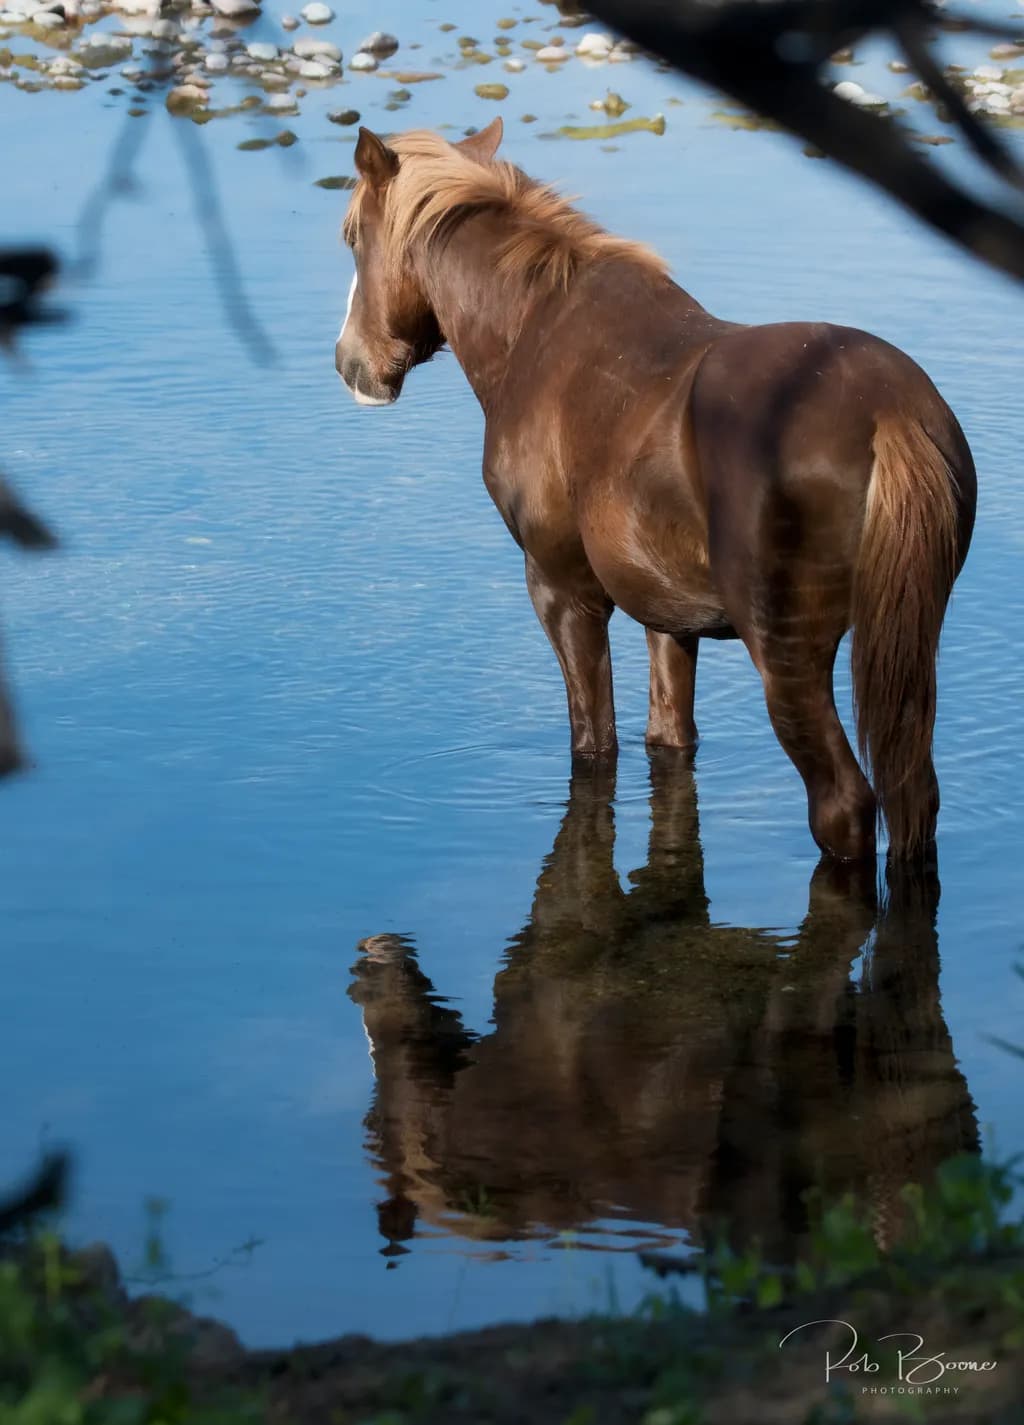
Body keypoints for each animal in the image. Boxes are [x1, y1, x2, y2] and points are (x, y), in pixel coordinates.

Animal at [335, 117, 977, 863]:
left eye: (353, 238)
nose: (352, 363)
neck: (531, 333)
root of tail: (890, 415)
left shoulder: (564, 590)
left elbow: (595, 748)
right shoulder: (667, 617)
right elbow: (669, 740)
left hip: (787, 649)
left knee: (843, 803)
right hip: (906, 639)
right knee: (914, 794)